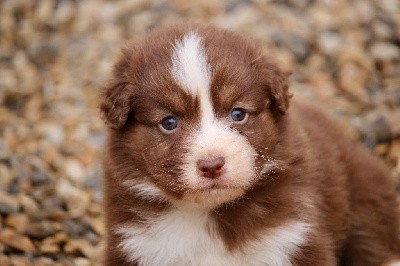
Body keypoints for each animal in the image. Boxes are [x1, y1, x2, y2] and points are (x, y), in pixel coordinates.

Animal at [100, 24, 400, 264]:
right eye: (169, 122)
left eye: (238, 114)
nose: (212, 165)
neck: (210, 213)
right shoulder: (136, 245)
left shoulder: (294, 238)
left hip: (364, 190)